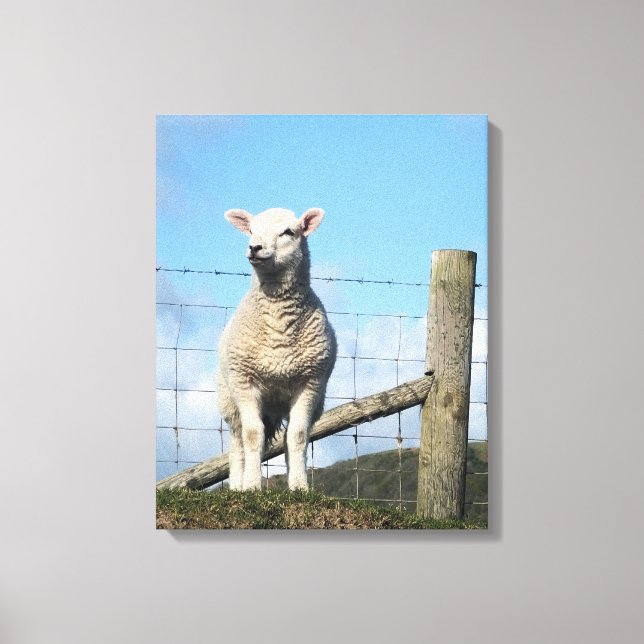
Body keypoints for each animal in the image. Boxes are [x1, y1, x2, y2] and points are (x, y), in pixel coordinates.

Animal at [217, 207, 337, 491]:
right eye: (251, 230)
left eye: (288, 232)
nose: (254, 247)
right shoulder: (244, 381)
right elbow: (252, 436)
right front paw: (251, 486)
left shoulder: (310, 383)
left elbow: (298, 436)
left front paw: (300, 487)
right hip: (229, 400)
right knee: (237, 444)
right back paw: (237, 486)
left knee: (285, 438)